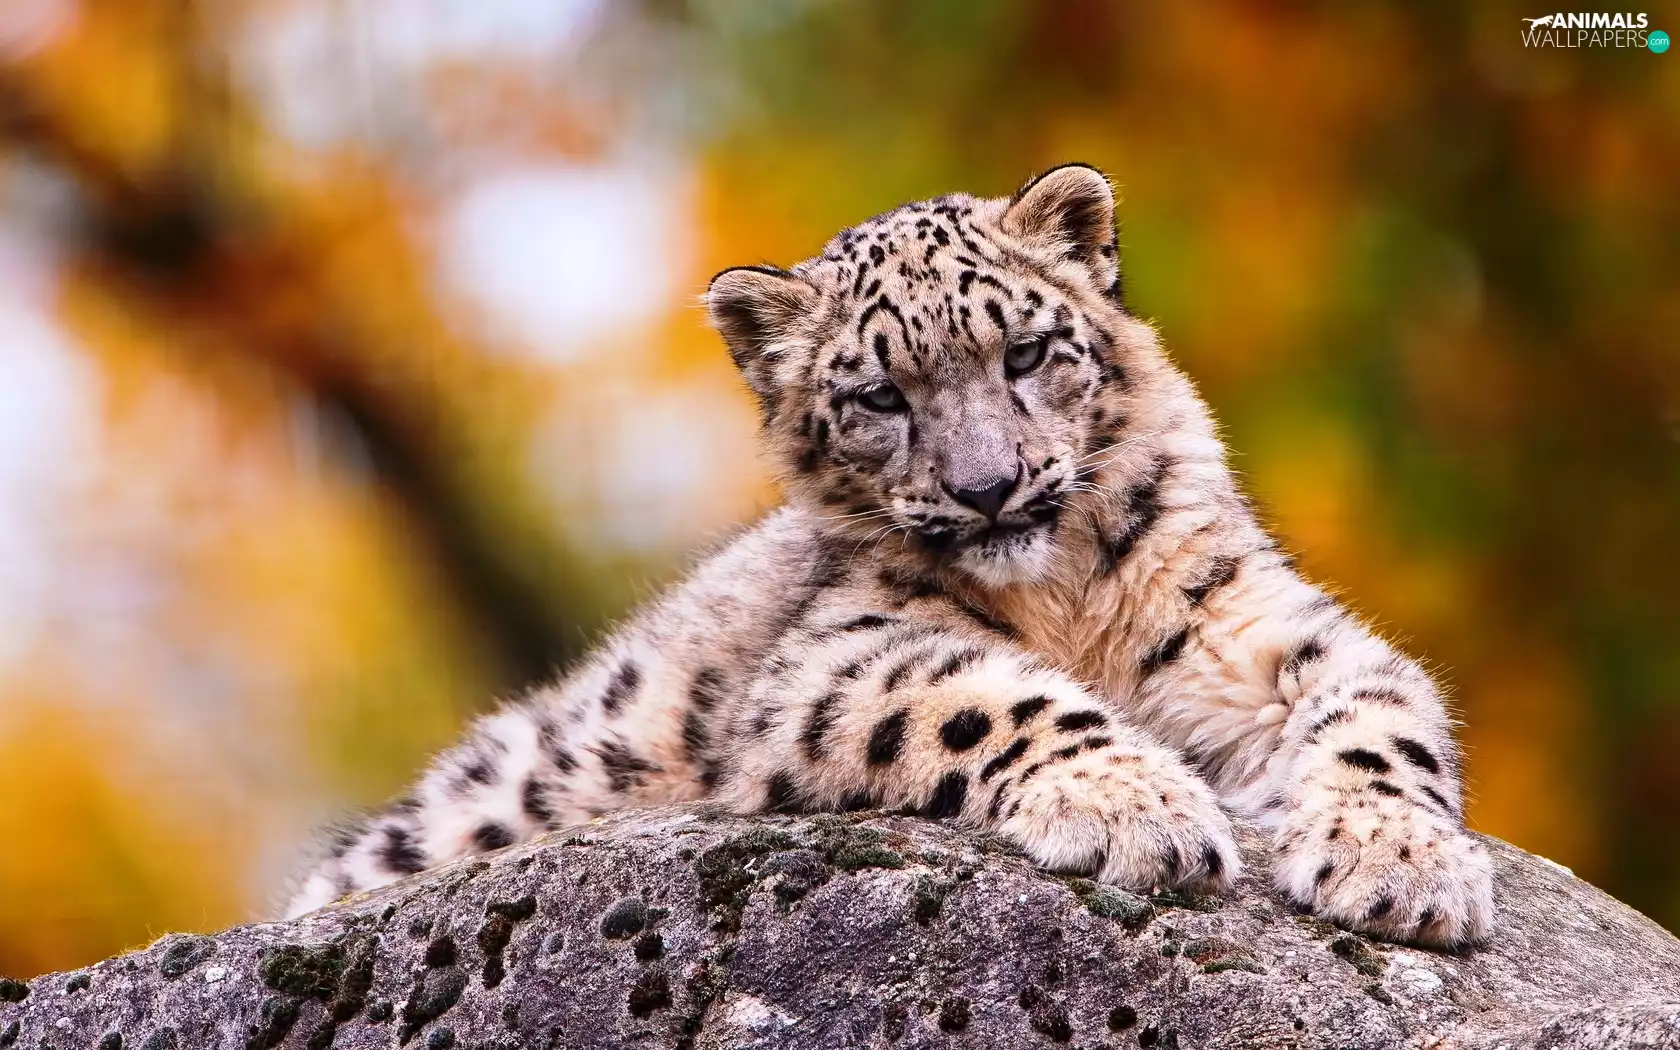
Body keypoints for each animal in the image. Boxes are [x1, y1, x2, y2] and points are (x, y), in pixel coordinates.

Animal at [284, 164, 1495, 949]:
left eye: (1026, 352)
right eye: (878, 397)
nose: (988, 486)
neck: (1065, 598)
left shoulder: (1256, 625)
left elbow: (1381, 716)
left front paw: (1403, 867)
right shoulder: (835, 662)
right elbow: (993, 696)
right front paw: (1138, 810)